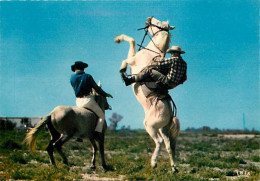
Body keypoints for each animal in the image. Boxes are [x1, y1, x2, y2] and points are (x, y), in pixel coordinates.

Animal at [115, 16, 180, 172]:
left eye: (158, 23)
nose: (149, 19)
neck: (152, 52)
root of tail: (170, 115)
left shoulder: (132, 59)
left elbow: (130, 46)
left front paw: (122, 69)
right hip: (163, 129)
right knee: (169, 145)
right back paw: (174, 168)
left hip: (150, 127)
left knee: (159, 141)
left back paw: (154, 162)